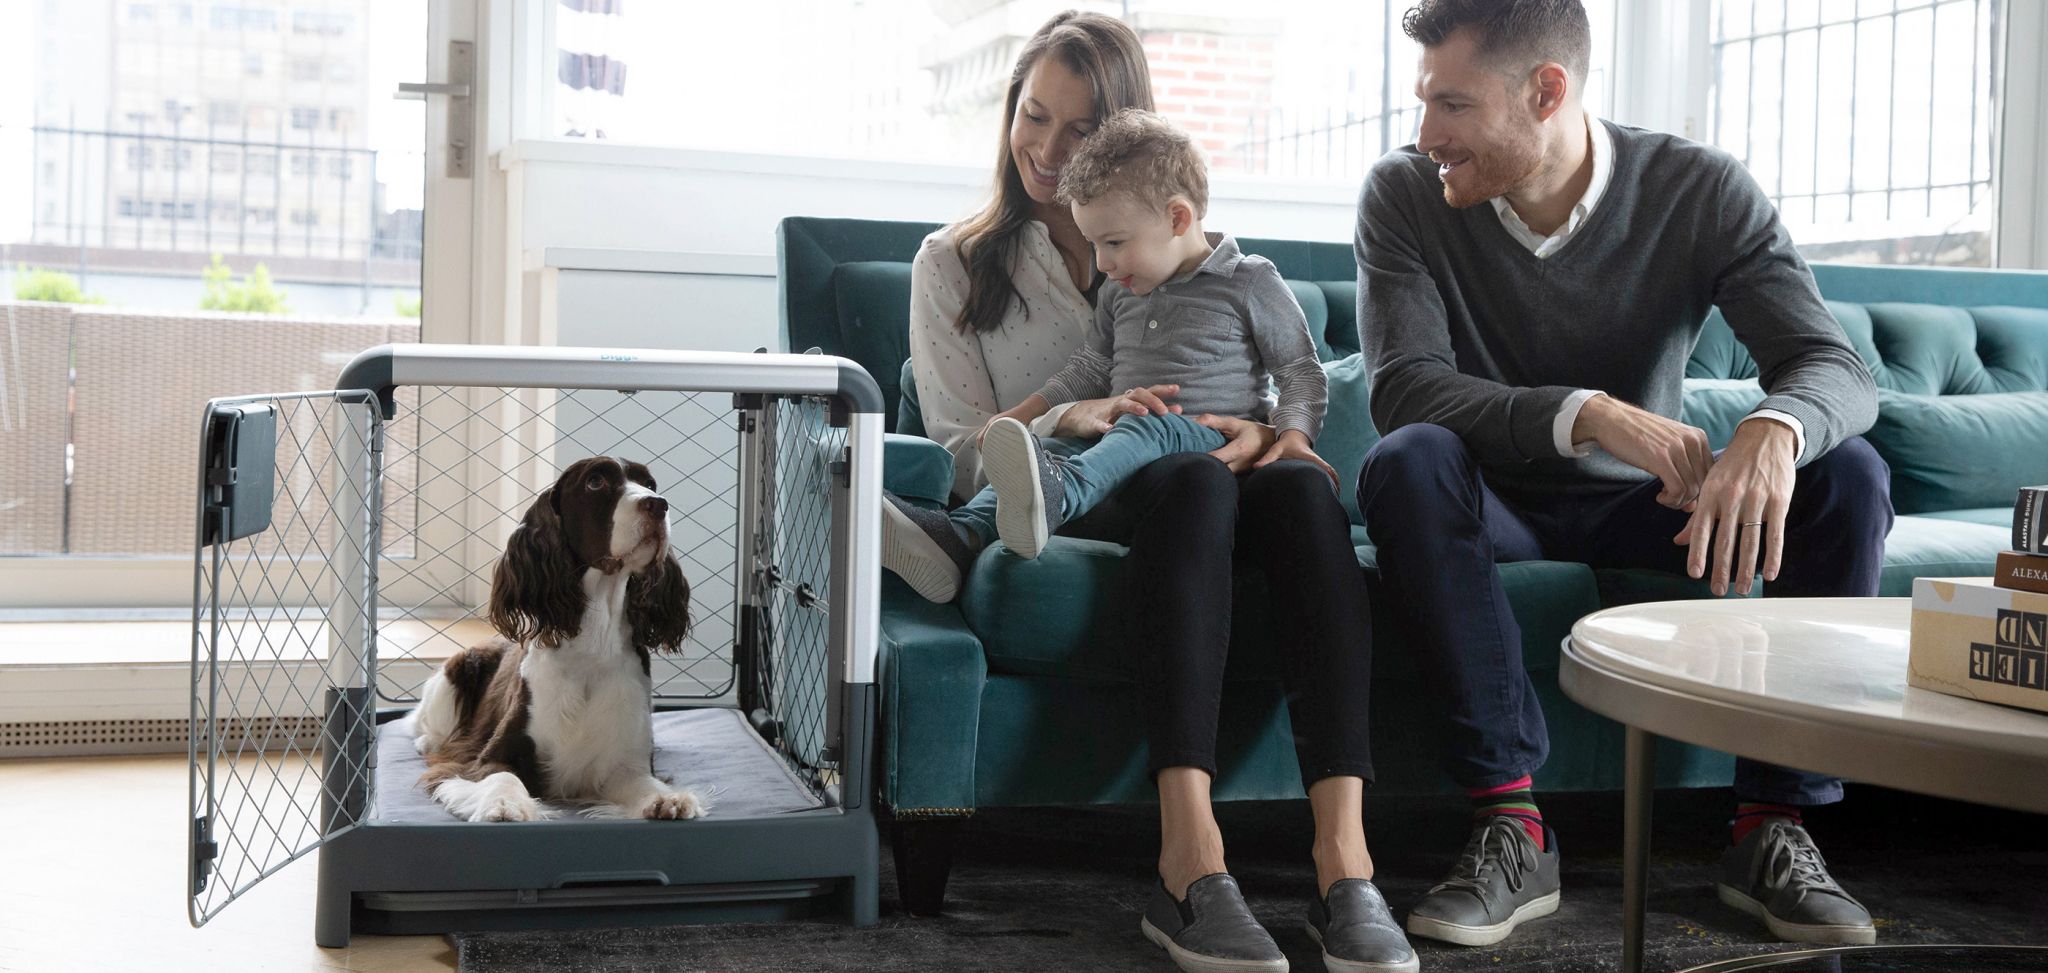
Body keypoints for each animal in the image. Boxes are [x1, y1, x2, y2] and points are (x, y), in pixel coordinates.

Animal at [407, 456, 712, 823]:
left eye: (650, 484)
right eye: (595, 482)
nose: (659, 504)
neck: (594, 641)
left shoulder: (625, 760)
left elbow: (642, 783)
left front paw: (669, 800)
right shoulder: (485, 756)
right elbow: (500, 774)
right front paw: (504, 804)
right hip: (457, 669)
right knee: (424, 723)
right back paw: (429, 741)